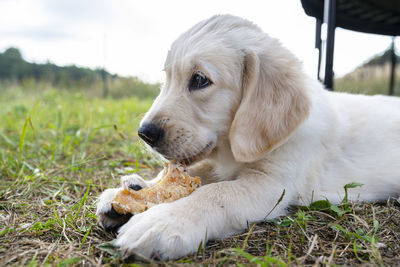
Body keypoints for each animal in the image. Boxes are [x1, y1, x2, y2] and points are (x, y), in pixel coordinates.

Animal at [96, 14, 400, 260]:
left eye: (199, 80)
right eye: (167, 78)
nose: (144, 133)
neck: (231, 149)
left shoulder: (271, 184)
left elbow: (215, 193)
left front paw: (164, 221)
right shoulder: (216, 163)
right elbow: (198, 173)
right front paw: (136, 189)